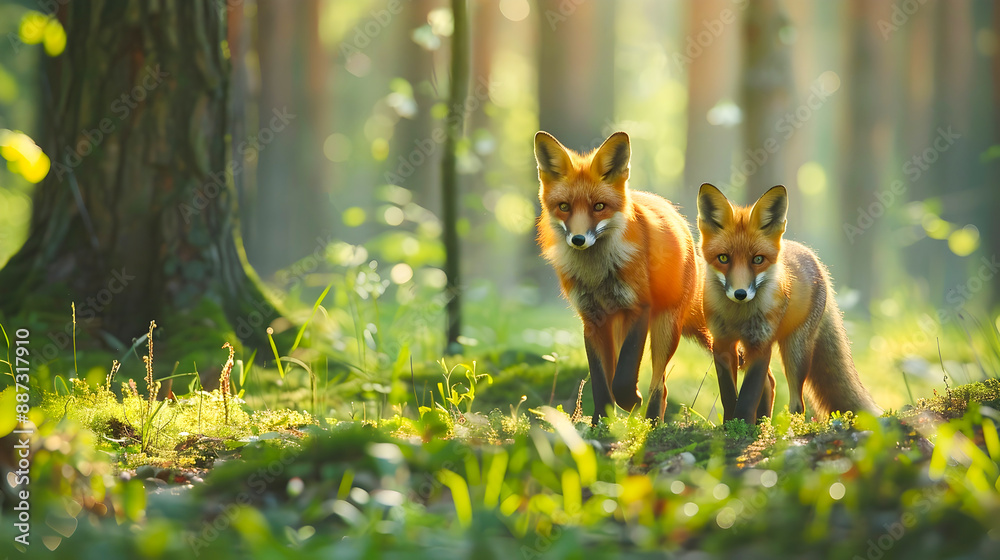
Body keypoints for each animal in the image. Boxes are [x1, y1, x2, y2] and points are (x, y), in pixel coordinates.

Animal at [535, 131, 712, 423]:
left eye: (599, 206)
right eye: (564, 206)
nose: (578, 240)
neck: (597, 277)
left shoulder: (638, 308)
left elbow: (624, 377)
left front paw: (630, 401)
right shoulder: (592, 319)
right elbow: (600, 381)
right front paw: (599, 423)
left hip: (665, 327)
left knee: (660, 385)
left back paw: (653, 422)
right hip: (618, 326)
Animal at [696, 183, 881, 424]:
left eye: (758, 259)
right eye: (723, 258)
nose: (740, 293)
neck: (738, 316)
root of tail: (814, 258)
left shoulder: (761, 344)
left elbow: (747, 398)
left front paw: (742, 425)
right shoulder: (722, 344)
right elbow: (729, 396)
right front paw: (731, 426)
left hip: (795, 352)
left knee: (797, 403)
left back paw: (787, 428)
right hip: (749, 353)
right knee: (770, 383)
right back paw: (763, 425)